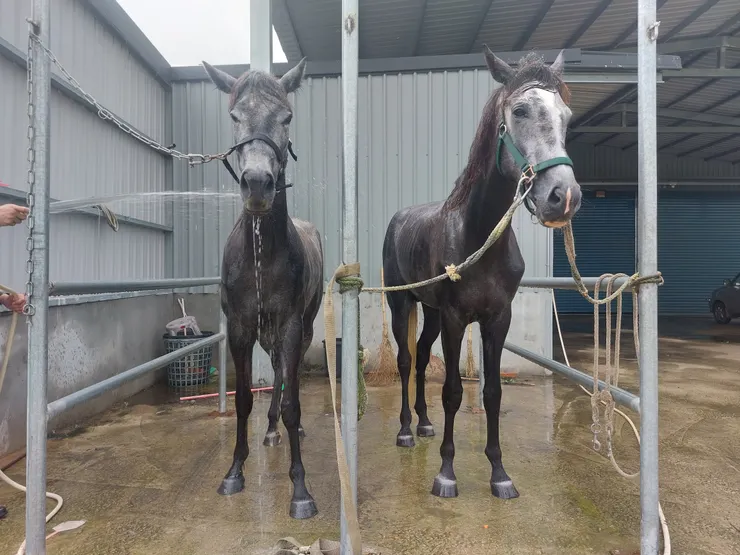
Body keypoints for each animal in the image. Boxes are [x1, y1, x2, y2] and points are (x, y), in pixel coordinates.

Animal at [202, 58, 324, 520]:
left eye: (286, 117)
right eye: (235, 116)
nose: (257, 183)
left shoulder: (289, 325)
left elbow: (292, 401)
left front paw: (301, 490)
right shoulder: (239, 327)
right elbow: (242, 400)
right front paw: (234, 471)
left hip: (304, 326)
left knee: (290, 377)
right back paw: (270, 431)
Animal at [382, 48, 581, 500]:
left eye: (566, 116)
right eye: (520, 110)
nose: (564, 197)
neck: (479, 235)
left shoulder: (496, 319)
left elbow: (492, 393)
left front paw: (499, 473)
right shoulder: (457, 320)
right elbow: (454, 391)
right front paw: (446, 473)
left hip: (431, 314)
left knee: (422, 359)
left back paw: (423, 424)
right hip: (402, 304)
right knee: (406, 360)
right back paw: (405, 430)